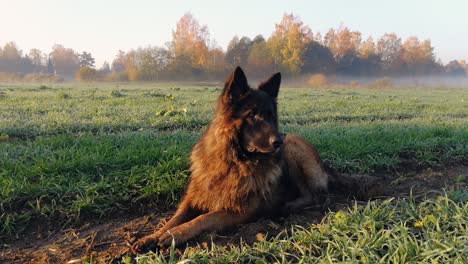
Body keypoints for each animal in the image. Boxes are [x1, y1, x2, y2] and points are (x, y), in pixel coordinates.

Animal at [133, 66, 374, 252]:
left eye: (271, 116)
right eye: (252, 115)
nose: (278, 141)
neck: (232, 163)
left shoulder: (238, 211)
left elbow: (203, 218)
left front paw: (175, 235)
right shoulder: (193, 199)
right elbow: (173, 218)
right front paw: (152, 236)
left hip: (294, 149)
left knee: (317, 196)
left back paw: (287, 207)